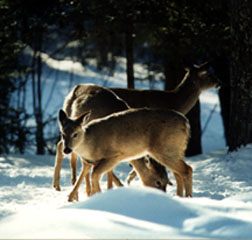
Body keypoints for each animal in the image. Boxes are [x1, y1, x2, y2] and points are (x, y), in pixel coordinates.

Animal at [58, 107, 193, 201]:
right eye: (62, 134)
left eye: (75, 134)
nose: (67, 150)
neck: (90, 144)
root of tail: (186, 123)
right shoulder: (87, 162)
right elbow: (80, 178)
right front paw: (70, 198)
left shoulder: (114, 156)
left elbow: (95, 174)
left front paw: (97, 197)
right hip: (173, 151)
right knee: (178, 173)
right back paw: (181, 197)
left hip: (165, 150)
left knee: (187, 169)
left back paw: (189, 197)